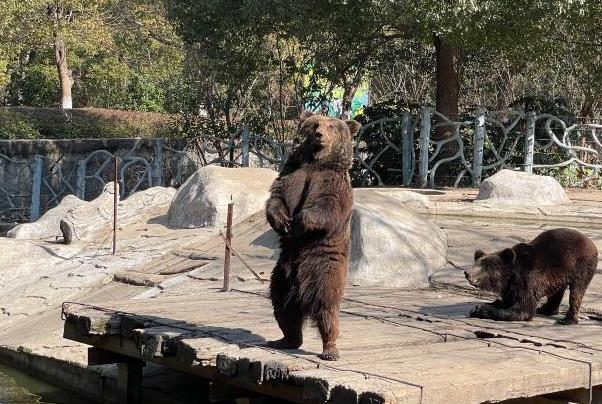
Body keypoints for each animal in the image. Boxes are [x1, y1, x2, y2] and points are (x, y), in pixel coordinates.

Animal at [264, 109, 358, 360]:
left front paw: (297, 223)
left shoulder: (331, 184)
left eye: (331, 126)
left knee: (327, 307)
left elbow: (325, 207)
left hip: (324, 268)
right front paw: (282, 221)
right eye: (315, 124)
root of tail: (302, 294)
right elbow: (276, 198)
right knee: (282, 307)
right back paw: (285, 340)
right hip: (281, 275)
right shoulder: (292, 175)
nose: (318, 135)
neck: (316, 163)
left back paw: (330, 349)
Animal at [464, 227, 596, 326]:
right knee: (557, 291)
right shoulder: (511, 287)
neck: (511, 276)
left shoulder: (527, 280)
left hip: (581, 265)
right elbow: (507, 301)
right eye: (476, 263)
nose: (467, 272)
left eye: (484, 265)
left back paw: (568, 319)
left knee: (577, 291)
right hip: (561, 273)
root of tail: (591, 242)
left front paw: (481, 309)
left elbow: (523, 309)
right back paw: (545, 309)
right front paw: (477, 307)